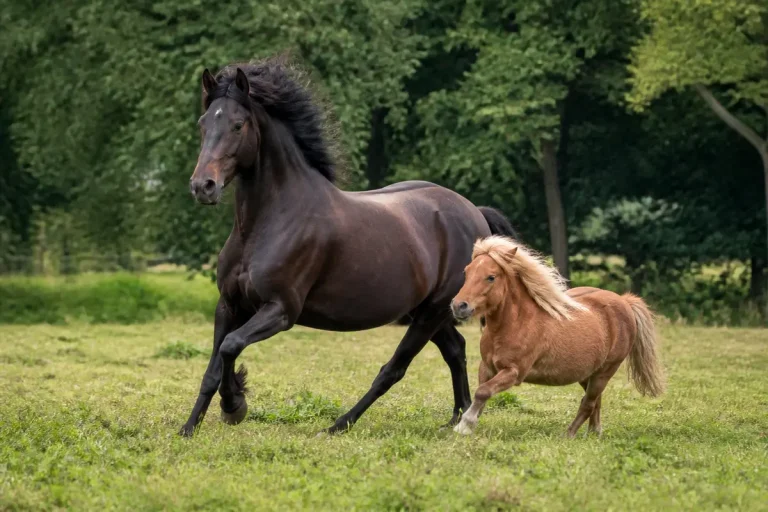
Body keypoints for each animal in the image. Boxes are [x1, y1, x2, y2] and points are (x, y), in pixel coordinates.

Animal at [179, 57, 518, 437]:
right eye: (203, 123)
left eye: (238, 125)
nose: (203, 186)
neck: (267, 223)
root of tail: (474, 213)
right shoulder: (229, 304)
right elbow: (213, 367)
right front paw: (191, 427)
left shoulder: (281, 310)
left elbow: (230, 346)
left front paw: (234, 404)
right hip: (427, 310)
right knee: (455, 349)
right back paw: (457, 418)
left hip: (431, 312)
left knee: (394, 369)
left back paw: (340, 424)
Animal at [450, 236, 665, 437]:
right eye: (467, 272)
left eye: (491, 277)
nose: (459, 306)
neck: (515, 324)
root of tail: (625, 301)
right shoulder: (486, 367)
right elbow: (481, 394)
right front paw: (467, 424)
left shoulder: (514, 372)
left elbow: (483, 392)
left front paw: (464, 426)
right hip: (587, 373)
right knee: (595, 402)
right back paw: (594, 433)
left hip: (605, 372)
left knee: (588, 403)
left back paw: (569, 435)